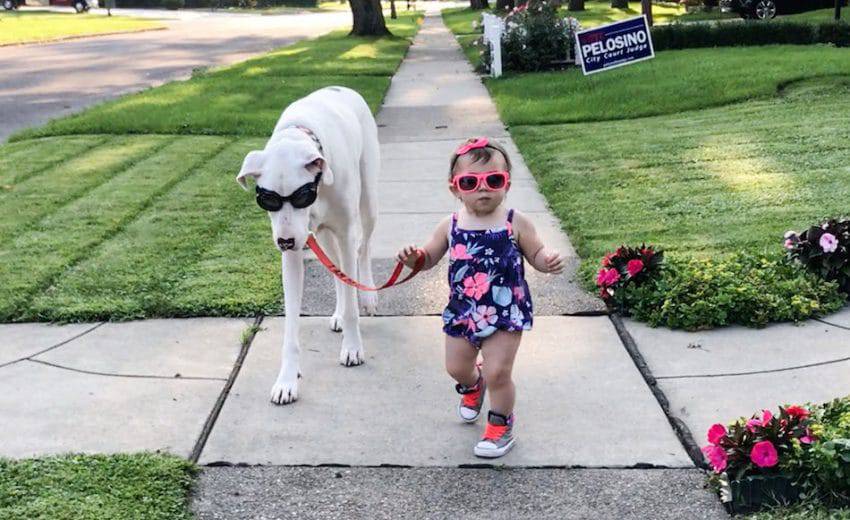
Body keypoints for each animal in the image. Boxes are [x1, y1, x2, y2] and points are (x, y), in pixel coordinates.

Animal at [234, 86, 376, 406]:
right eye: (267, 199)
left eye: (301, 195)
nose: (285, 241)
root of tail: (340, 87)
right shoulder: (294, 251)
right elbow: (291, 327)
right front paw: (287, 379)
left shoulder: (346, 233)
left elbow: (351, 291)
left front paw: (353, 347)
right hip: (321, 236)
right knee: (337, 271)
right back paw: (338, 312)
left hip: (369, 202)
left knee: (363, 251)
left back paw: (368, 297)